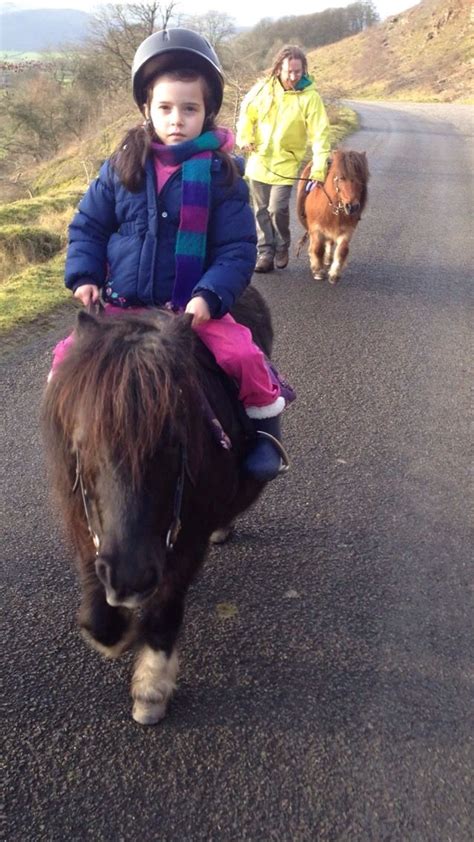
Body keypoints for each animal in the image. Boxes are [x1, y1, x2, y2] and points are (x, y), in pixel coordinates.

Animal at [43, 288, 276, 720]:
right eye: (82, 443)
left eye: (175, 440)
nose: (130, 578)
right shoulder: (84, 523)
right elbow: (95, 608)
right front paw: (115, 633)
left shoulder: (187, 540)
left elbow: (165, 608)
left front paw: (151, 689)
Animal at [296, 149, 370, 284]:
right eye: (341, 178)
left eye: (361, 179)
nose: (352, 207)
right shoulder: (316, 228)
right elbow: (317, 249)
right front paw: (318, 270)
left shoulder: (347, 230)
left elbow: (342, 251)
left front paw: (334, 274)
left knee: (329, 242)